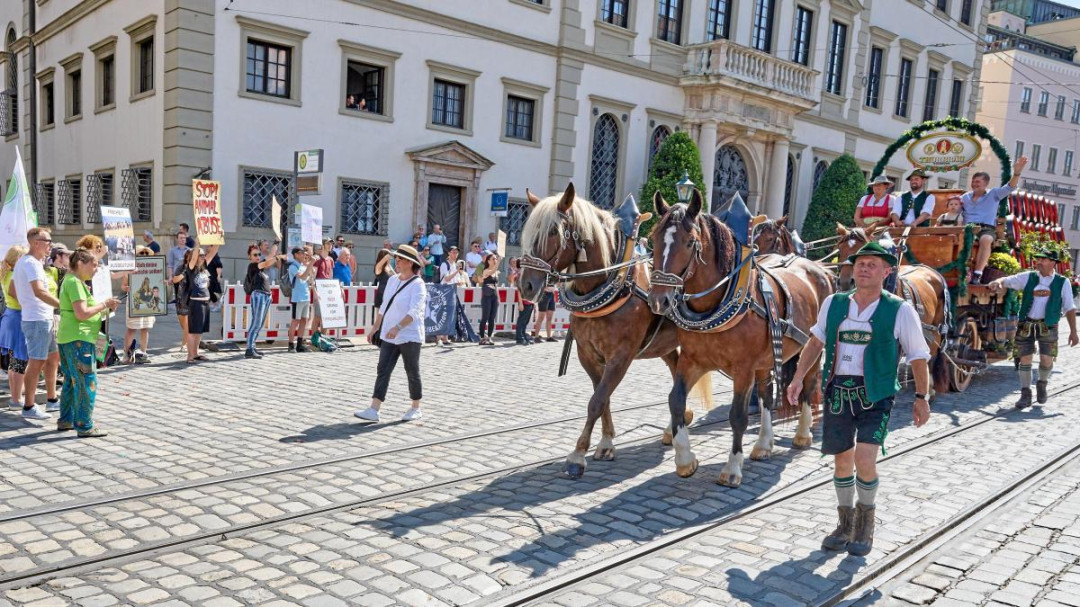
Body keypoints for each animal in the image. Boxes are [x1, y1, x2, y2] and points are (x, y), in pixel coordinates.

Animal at [518, 180, 712, 477]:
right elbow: (603, 397)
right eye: (529, 230)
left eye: (553, 231)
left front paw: (577, 456)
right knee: (676, 369)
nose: (526, 285)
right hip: (665, 344)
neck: (614, 283)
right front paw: (607, 442)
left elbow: (597, 400)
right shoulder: (588, 354)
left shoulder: (621, 356)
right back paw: (676, 425)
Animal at [643, 191, 829, 483]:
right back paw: (764, 444)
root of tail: (818, 268)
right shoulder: (692, 361)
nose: (658, 300)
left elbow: (738, 416)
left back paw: (802, 434)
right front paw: (685, 459)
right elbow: (676, 401)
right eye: (653, 238)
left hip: (812, 348)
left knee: (808, 385)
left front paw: (732, 468)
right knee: (766, 395)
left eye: (690, 242)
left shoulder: (744, 369)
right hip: (767, 359)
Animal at [833, 225, 954, 393]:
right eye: (839, 250)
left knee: (931, 354)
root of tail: (931, 270)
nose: (845, 282)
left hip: (936, 329)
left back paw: (929, 388)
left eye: (861, 249)